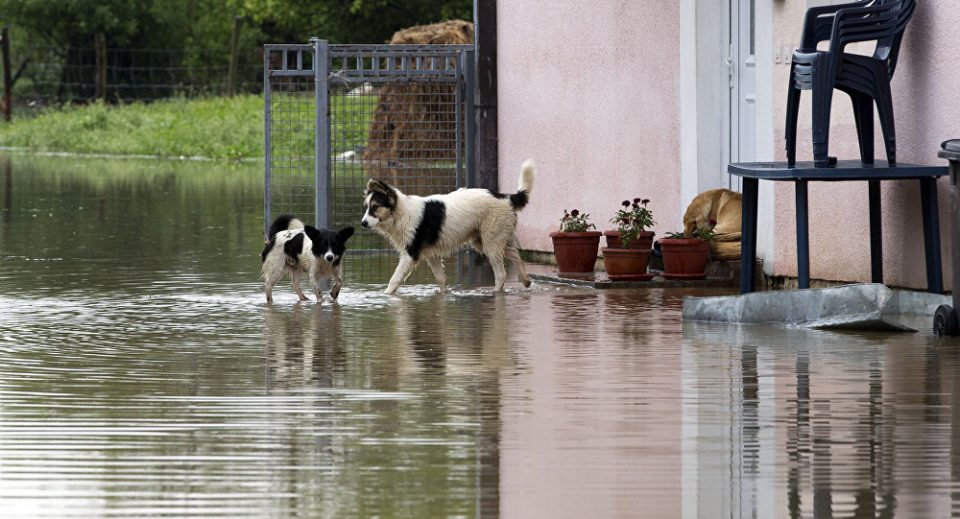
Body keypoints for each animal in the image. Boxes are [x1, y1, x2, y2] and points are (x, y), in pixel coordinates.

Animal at [364, 158, 536, 294]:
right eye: (366, 207)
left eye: (375, 207)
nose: (363, 223)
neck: (400, 213)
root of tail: (506, 198)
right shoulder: (431, 255)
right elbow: (441, 280)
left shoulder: (410, 255)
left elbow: (394, 280)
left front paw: (386, 296)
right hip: (483, 241)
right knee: (514, 253)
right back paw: (525, 279)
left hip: (491, 243)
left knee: (501, 274)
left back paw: (496, 292)